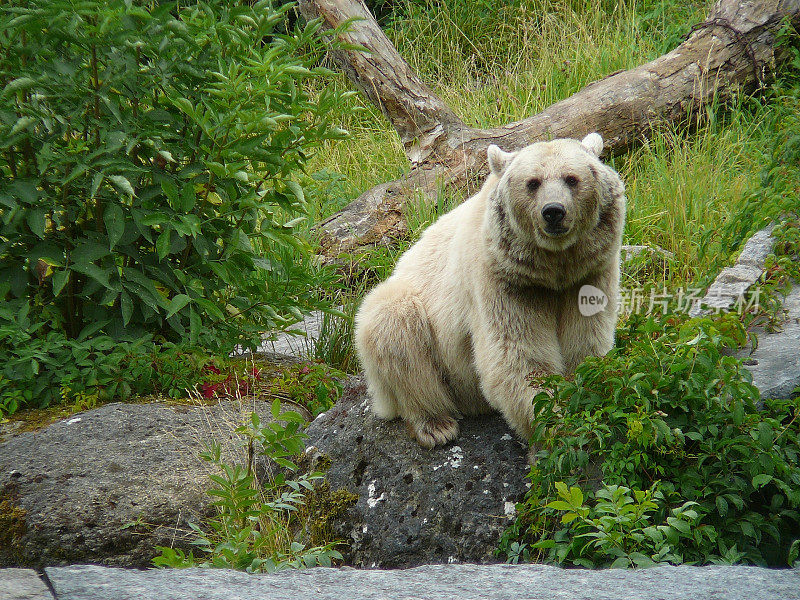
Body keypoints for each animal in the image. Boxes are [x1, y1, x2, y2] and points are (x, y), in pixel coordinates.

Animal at [354, 134, 624, 448]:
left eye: (572, 178)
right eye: (533, 182)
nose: (554, 212)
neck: (552, 269)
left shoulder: (589, 273)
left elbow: (584, 343)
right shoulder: (502, 281)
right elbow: (515, 357)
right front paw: (555, 429)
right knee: (395, 324)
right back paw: (434, 424)